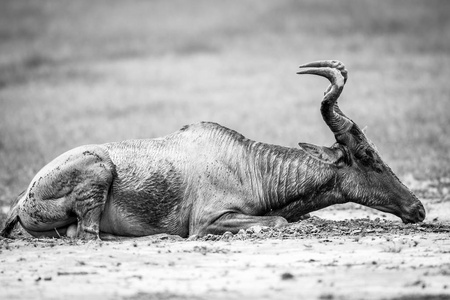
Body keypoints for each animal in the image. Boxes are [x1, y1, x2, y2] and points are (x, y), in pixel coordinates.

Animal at [0, 60, 426, 239]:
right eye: (367, 156)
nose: (418, 209)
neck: (245, 162)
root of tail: (21, 200)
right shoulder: (207, 221)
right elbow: (277, 221)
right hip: (98, 172)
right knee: (86, 235)